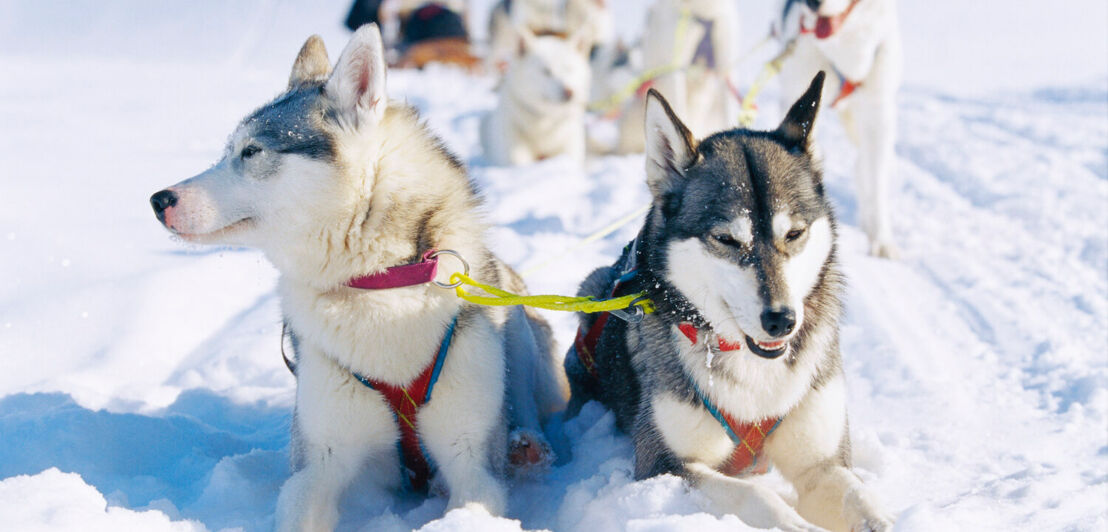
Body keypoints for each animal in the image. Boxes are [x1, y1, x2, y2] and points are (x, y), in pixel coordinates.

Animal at [151, 26, 567, 532]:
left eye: (252, 152)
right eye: (230, 150)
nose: (158, 199)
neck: (379, 288)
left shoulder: (472, 462)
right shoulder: (317, 463)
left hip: (515, 320)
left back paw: (527, 441)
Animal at [567, 72, 895, 529]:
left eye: (794, 233)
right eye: (726, 239)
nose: (781, 320)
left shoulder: (823, 463)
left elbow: (860, 499)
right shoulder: (665, 464)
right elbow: (755, 495)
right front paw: (792, 522)